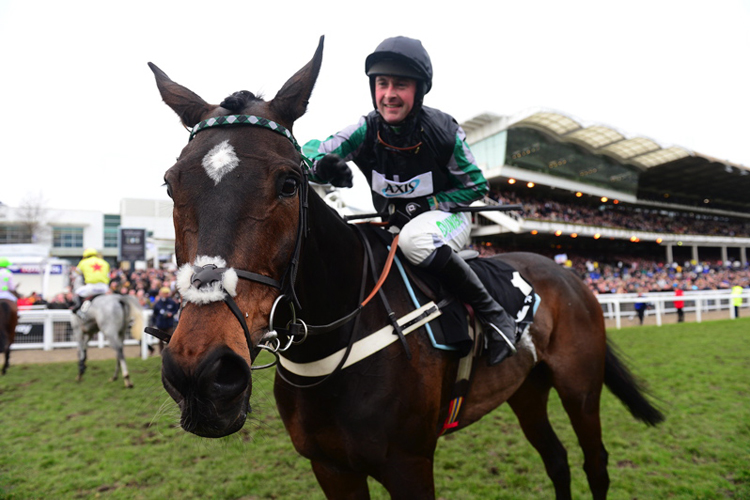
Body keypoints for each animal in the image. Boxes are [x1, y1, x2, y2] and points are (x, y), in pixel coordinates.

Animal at [148, 37, 664, 498]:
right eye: (172, 185)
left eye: (289, 183)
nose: (202, 371)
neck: (337, 342)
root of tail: (565, 272)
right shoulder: (331, 467)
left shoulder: (408, 464)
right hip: (526, 388)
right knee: (557, 459)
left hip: (580, 386)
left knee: (595, 463)